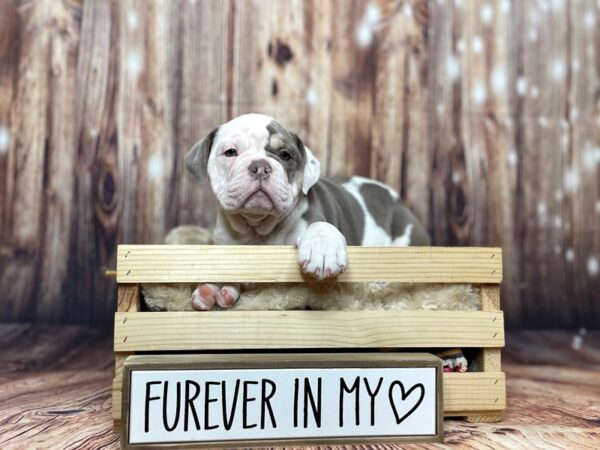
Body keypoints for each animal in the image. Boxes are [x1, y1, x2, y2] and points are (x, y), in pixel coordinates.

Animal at [185, 113, 428, 310]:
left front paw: (322, 251)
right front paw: (214, 288)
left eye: (285, 155)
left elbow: (321, 226)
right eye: (230, 152)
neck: (259, 229)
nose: (260, 166)